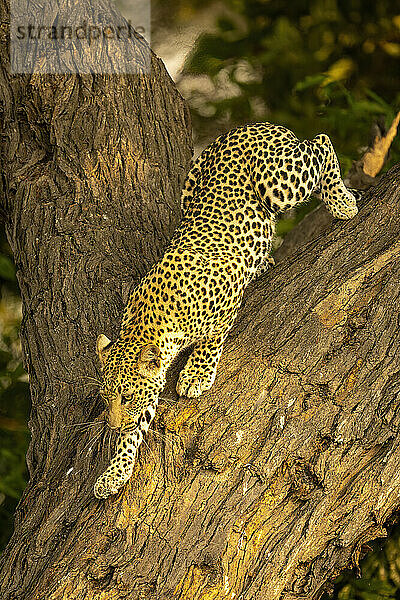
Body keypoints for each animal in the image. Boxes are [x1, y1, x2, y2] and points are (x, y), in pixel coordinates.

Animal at [93, 120, 360, 496]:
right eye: (106, 398)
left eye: (127, 397)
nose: (113, 425)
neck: (148, 321)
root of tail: (252, 125)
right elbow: (136, 430)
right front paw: (114, 472)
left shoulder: (228, 286)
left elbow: (212, 337)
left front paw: (195, 375)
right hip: (191, 188)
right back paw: (267, 262)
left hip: (278, 180)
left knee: (320, 143)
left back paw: (342, 202)